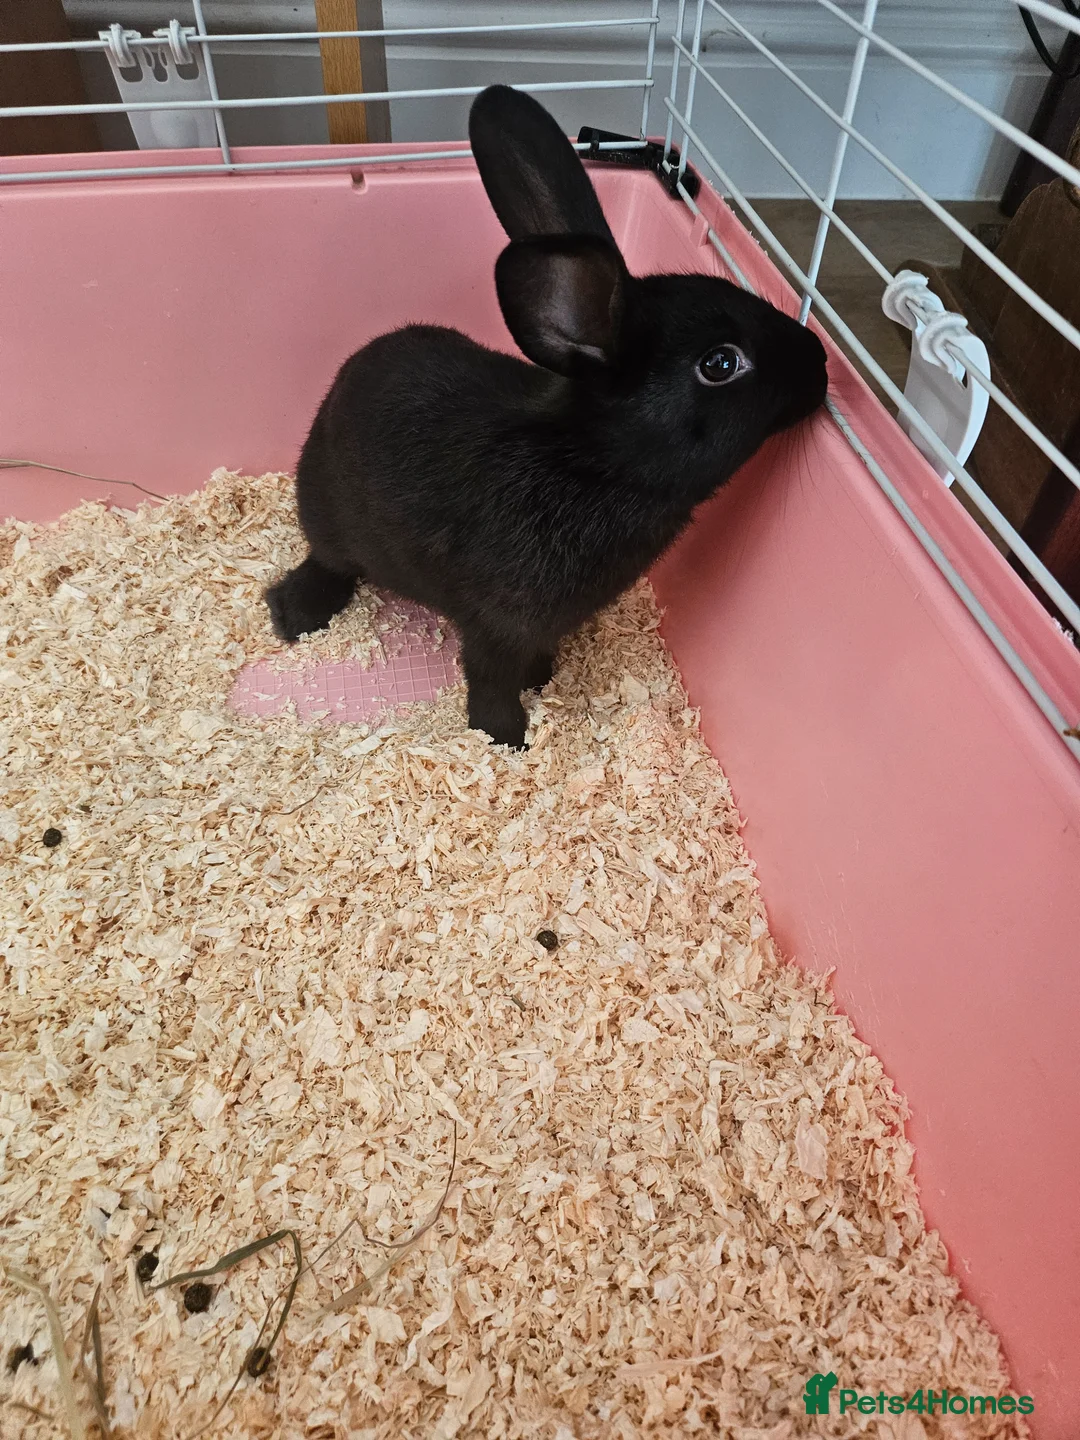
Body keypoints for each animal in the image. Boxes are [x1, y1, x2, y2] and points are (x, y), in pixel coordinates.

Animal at [266, 84, 828, 749]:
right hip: (330, 517)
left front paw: (544, 678)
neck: (594, 465)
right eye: (720, 364)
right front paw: (506, 738)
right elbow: (489, 682)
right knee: (327, 561)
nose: (821, 362)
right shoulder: (498, 625)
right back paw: (294, 613)